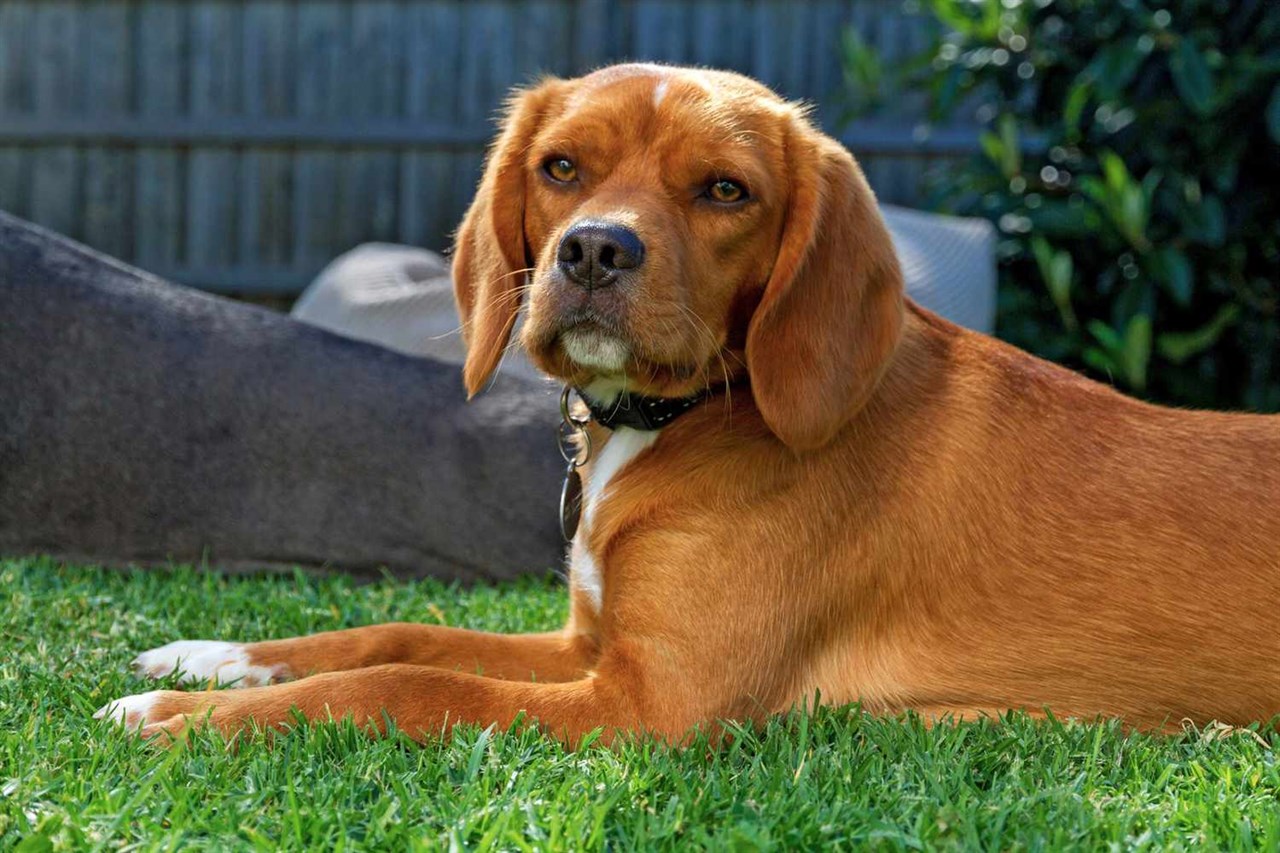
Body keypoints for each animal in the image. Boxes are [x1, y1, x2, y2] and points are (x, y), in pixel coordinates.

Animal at [97, 63, 1280, 737]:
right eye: (560, 167)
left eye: (724, 191)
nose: (592, 250)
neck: (675, 418)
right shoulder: (590, 645)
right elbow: (396, 630)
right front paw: (209, 658)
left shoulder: (652, 700)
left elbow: (405, 686)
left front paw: (176, 717)